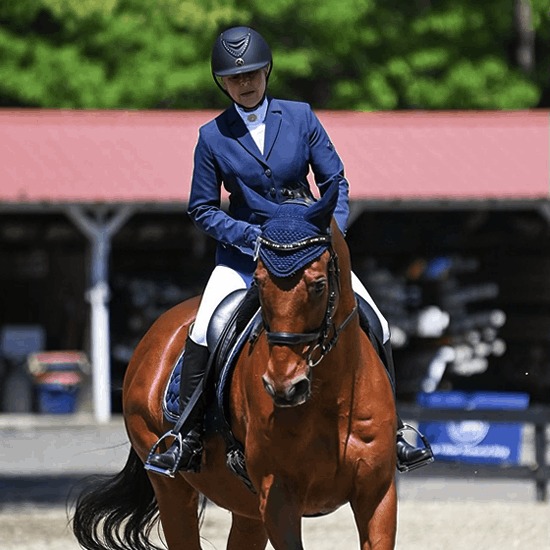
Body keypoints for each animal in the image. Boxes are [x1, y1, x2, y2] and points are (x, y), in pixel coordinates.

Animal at [74, 187, 402, 550]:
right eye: (259, 282)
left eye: (318, 285)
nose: (284, 386)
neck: (333, 397)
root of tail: (153, 337)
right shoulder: (278, 499)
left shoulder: (377, 495)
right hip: (173, 487)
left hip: (244, 506)